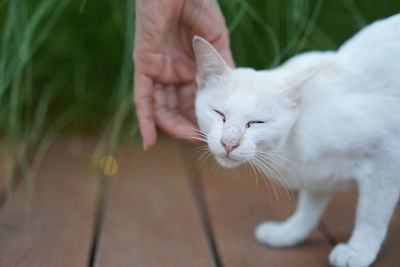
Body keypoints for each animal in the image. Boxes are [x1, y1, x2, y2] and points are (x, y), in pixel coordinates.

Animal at [193, 14, 400, 267]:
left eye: (257, 122)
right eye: (219, 113)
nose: (229, 142)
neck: (289, 146)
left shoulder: (387, 154)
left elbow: (371, 213)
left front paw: (359, 251)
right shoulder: (318, 173)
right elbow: (309, 206)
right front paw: (289, 233)